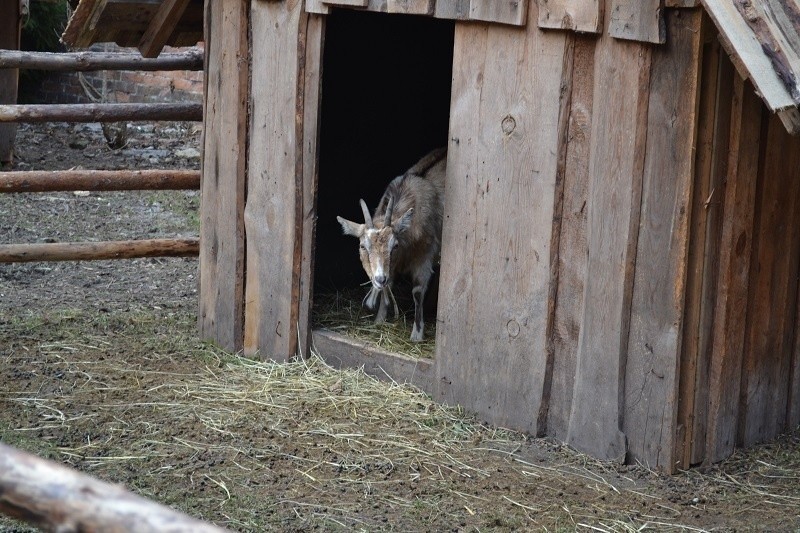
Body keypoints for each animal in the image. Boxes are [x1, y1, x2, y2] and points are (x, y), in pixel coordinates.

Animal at [336, 148, 446, 342]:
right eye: (363, 246)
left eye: (395, 245)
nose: (379, 279)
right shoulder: (390, 267)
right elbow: (390, 284)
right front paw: (379, 321)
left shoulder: (424, 255)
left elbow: (417, 290)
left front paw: (417, 335)